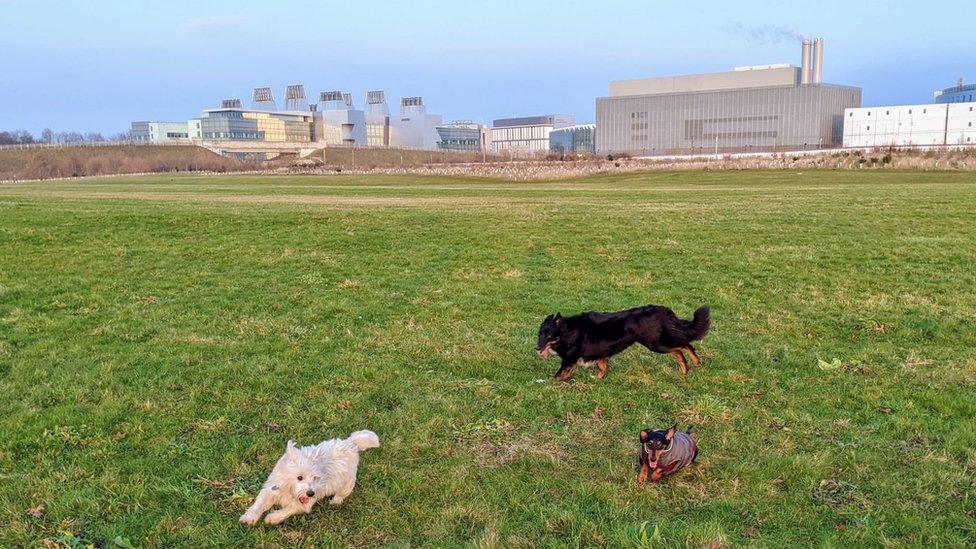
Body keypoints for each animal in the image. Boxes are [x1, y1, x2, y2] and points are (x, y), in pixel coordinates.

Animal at [240, 430, 382, 524]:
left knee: (342, 494)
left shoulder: (303, 505)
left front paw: (272, 518)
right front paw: (249, 518)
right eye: (299, 477)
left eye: (315, 478)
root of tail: (351, 443)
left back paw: (335, 501)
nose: (311, 493)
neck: (288, 489)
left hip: (347, 482)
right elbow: (258, 505)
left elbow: (287, 510)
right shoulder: (270, 490)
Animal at [532, 302, 708, 378]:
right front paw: (598, 378)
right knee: (681, 348)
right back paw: (688, 368)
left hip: (655, 343)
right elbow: (602, 367)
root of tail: (662, 310)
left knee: (683, 347)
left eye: (549, 335)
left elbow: (556, 376)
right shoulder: (601, 353)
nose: (537, 348)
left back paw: (693, 364)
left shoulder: (569, 360)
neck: (568, 332)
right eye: (540, 334)